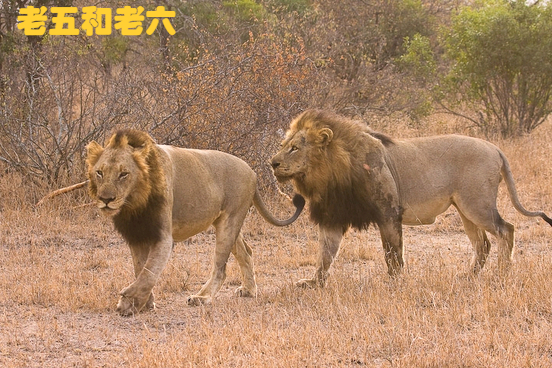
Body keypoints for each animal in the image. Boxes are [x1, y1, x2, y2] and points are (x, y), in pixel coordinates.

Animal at [85, 128, 306, 314]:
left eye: (124, 174)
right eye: (99, 172)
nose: (105, 199)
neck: (134, 205)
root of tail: (252, 171)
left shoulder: (163, 237)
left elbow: (149, 271)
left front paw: (129, 301)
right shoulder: (136, 235)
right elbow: (141, 269)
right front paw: (145, 303)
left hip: (229, 223)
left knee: (221, 269)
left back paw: (202, 297)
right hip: (228, 222)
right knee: (247, 252)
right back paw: (249, 290)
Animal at [272, 109, 552, 288]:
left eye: (295, 148)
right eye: (284, 145)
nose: (272, 163)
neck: (331, 173)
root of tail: (495, 148)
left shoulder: (388, 213)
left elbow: (392, 255)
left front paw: (395, 284)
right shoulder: (333, 217)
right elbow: (325, 255)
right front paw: (313, 283)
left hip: (477, 205)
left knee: (506, 229)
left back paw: (501, 275)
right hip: (465, 209)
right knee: (483, 244)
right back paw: (468, 277)